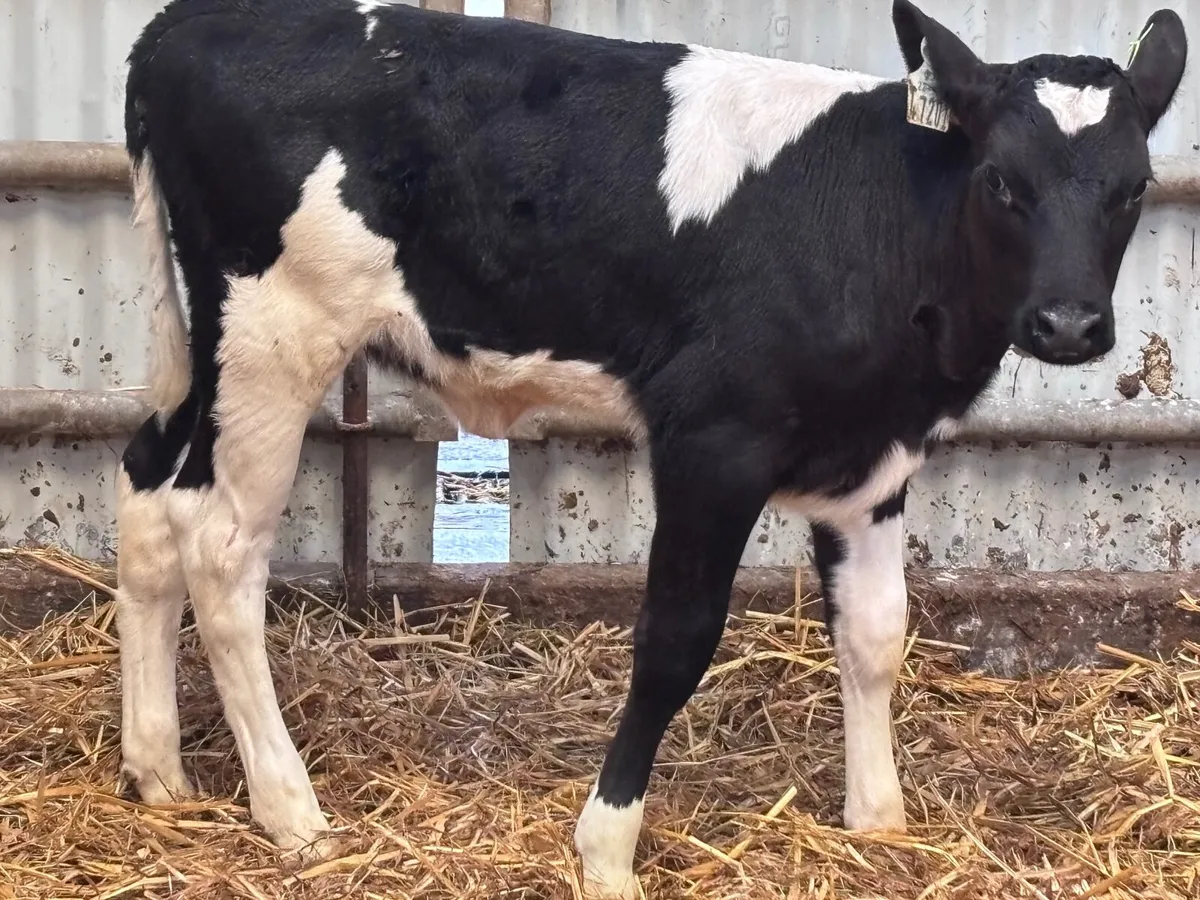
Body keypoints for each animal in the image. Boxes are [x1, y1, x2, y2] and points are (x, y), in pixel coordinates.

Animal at [113, 0, 1187, 896]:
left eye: (1134, 188)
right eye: (1002, 181)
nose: (1069, 324)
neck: (880, 221)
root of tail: (184, 24)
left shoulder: (875, 456)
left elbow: (877, 633)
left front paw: (879, 822)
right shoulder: (712, 440)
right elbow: (675, 641)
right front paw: (606, 851)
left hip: (200, 352)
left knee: (149, 498)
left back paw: (158, 769)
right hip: (273, 338)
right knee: (222, 553)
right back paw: (291, 810)